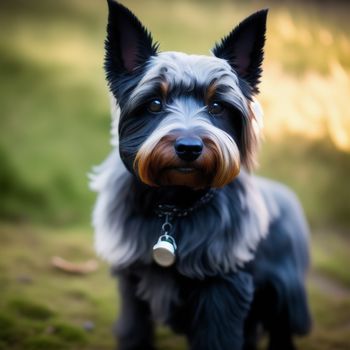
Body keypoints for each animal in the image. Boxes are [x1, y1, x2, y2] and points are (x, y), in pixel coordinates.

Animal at [91, 1, 312, 348]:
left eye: (217, 106)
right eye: (155, 103)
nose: (189, 147)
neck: (173, 207)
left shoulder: (223, 288)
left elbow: (219, 337)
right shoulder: (132, 279)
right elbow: (134, 329)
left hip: (284, 294)